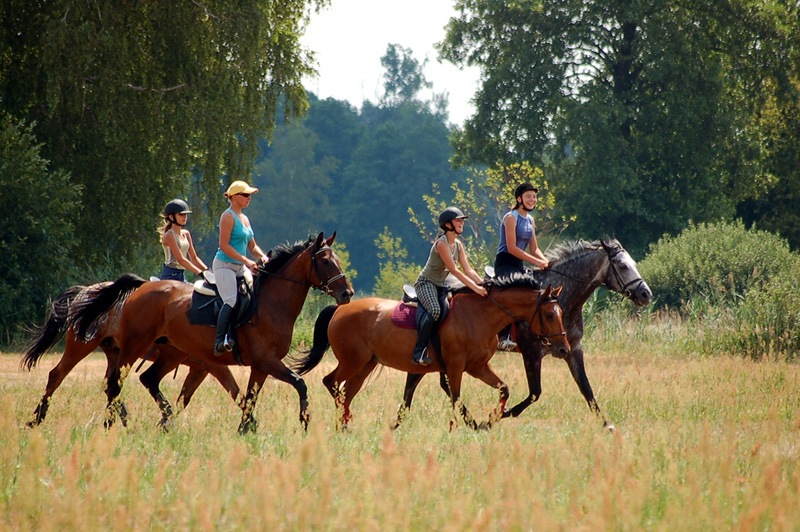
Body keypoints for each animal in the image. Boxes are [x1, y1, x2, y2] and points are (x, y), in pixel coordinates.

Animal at [21, 282, 241, 428]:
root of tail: (85, 290)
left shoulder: (200, 369)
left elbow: (184, 399)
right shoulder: (213, 366)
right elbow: (235, 392)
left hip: (115, 352)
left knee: (110, 385)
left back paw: (122, 420)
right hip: (80, 346)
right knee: (57, 375)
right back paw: (36, 419)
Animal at [69, 233, 354, 432]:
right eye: (326, 261)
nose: (347, 294)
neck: (271, 302)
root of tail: (140, 289)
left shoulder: (259, 366)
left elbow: (248, 398)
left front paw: (246, 430)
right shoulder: (266, 361)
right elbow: (298, 384)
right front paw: (304, 421)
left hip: (168, 352)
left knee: (147, 379)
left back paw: (160, 419)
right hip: (133, 346)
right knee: (114, 383)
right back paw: (113, 425)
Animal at [290, 276, 564, 430]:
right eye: (550, 315)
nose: (562, 348)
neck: (480, 315)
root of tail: (338, 309)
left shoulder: (477, 367)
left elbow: (502, 389)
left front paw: (491, 419)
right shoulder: (455, 367)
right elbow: (456, 397)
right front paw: (461, 426)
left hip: (366, 364)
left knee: (347, 392)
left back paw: (344, 424)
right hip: (352, 361)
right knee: (331, 382)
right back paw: (343, 420)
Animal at [392, 239, 648, 430]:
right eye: (622, 266)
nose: (646, 294)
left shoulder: (572, 349)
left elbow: (586, 388)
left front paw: (607, 425)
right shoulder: (532, 352)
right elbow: (535, 392)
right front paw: (499, 415)